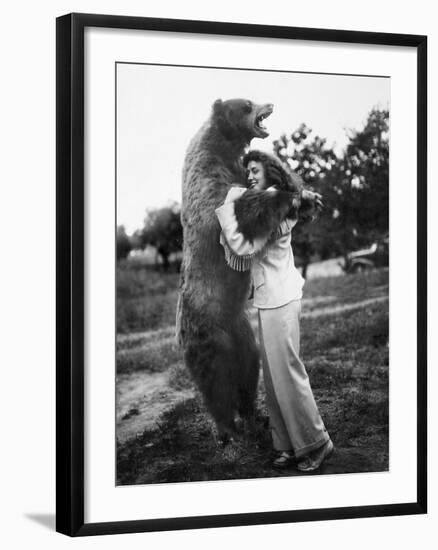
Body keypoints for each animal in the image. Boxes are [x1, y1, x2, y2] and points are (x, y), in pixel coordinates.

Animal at [177, 99, 302, 444]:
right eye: (246, 105)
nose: (268, 103)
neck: (222, 145)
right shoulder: (208, 183)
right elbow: (235, 209)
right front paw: (285, 194)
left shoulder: (233, 168)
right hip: (209, 334)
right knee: (216, 385)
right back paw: (227, 430)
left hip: (242, 331)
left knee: (248, 369)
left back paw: (254, 416)